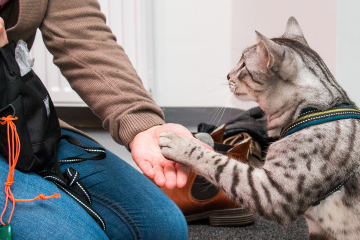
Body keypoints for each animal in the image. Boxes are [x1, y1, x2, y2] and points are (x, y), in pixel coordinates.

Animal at [159, 17, 360, 240]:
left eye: (244, 65)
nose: (227, 74)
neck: (311, 111)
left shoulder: (273, 193)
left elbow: (220, 163)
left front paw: (180, 143)